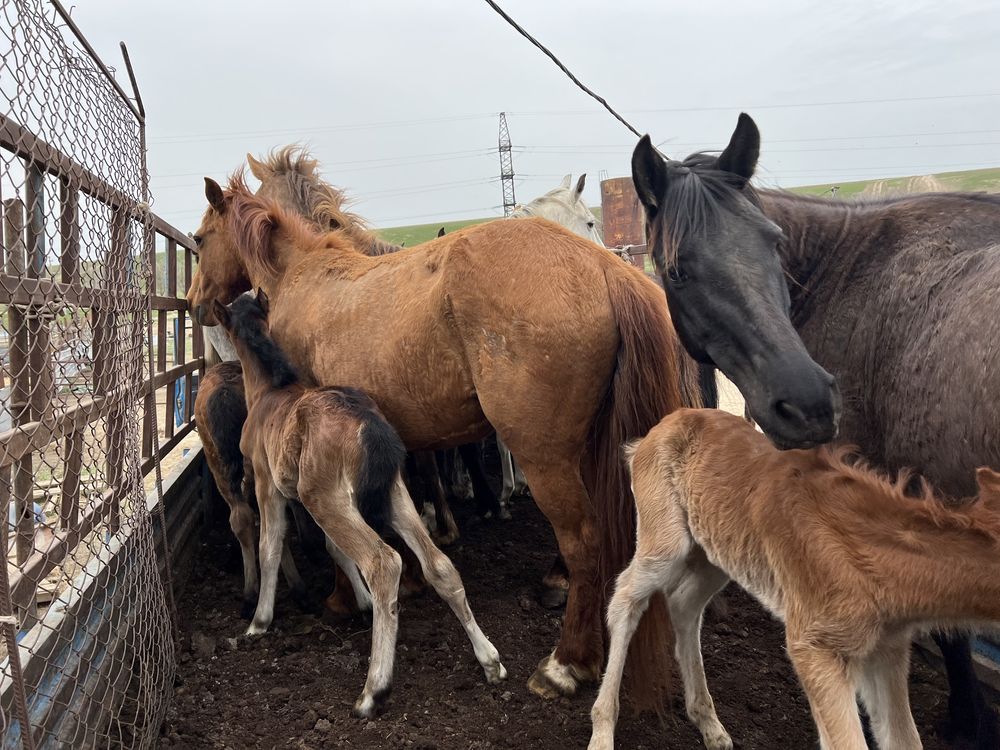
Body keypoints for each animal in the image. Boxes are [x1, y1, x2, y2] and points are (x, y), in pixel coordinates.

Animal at [187, 170, 684, 704]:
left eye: (199, 239)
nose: (194, 304)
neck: (303, 276)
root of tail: (602, 267)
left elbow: (335, 540)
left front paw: (342, 599)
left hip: (546, 457)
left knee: (583, 541)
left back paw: (565, 662)